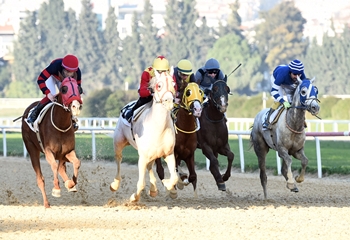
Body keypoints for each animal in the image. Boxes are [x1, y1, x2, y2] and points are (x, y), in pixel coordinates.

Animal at [21, 77, 82, 208]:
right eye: (64, 89)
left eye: (79, 88)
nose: (76, 106)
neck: (61, 124)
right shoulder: (49, 151)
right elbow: (54, 166)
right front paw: (57, 189)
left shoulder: (67, 151)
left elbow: (76, 163)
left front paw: (71, 184)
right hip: (31, 148)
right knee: (40, 178)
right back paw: (46, 203)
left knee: (62, 167)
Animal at [109, 70, 179, 202]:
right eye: (159, 86)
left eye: (174, 84)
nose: (169, 101)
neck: (158, 127)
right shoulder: (142, 157)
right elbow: (141, 183)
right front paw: (134, 198)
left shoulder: (168, 153)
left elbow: (174, 177)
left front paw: (168, 186)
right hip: (118, 142)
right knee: (118, 159)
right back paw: (115, 184)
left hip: (153, 154)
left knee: (150, 167)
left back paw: (153, 189)